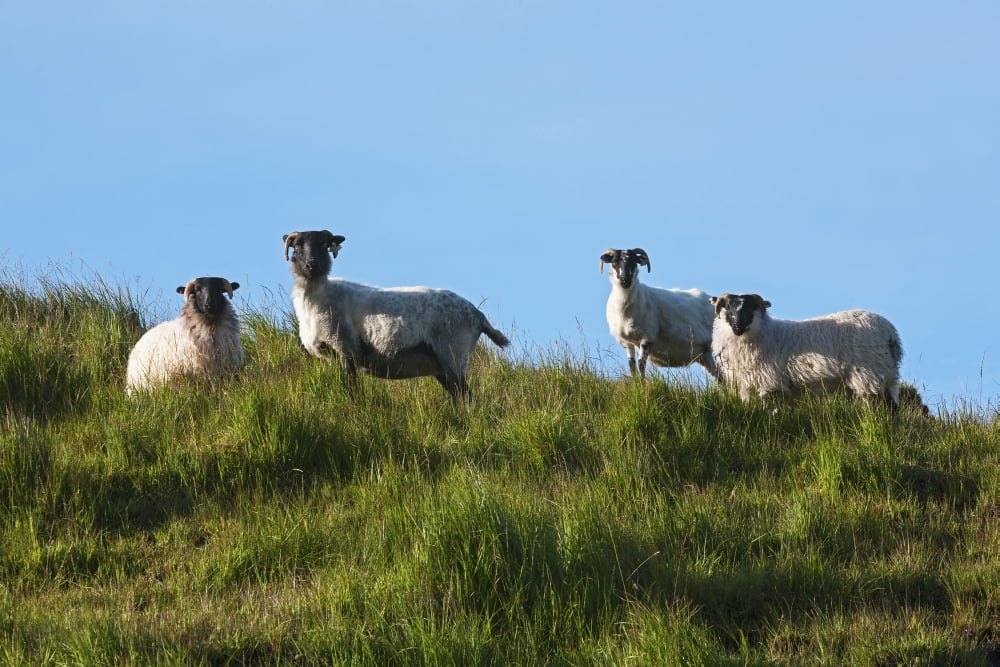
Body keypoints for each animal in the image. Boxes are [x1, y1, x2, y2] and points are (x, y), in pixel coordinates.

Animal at [282, 230, 510, 402]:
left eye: (323, 244)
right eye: (298, 246)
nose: (312, 265)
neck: (319, 297)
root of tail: (478, 315)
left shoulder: (346, 348)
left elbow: (350, 389)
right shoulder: (333, 355)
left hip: (454, 352)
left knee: (467, 397)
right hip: (442, 365)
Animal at [600, 247, 721, 381]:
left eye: (634, 262)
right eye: (614, 262)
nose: (625, 280)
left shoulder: (647, 337)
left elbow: (641, 364)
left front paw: (642, 384)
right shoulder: (626, 342)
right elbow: (632, 365)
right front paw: (635, 383)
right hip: (704, 355)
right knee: (720, 378)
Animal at [710, 293, 903, 408]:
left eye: (750, 308)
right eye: (728, 307)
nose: (738, 326)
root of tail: (890, 333)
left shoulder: (770, 383)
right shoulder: (749, 387)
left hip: (869, 375)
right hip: (888, 377)